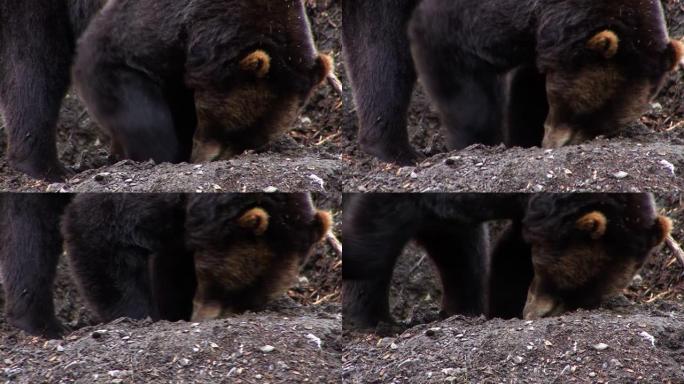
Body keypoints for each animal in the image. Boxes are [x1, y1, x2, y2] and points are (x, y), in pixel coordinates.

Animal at [342, 0, 684, 164]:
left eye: (601, 126)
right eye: (580, 111)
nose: (553, 145)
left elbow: (527, 87)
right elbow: (446, 39)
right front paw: (478, 143)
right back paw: (399, 151)